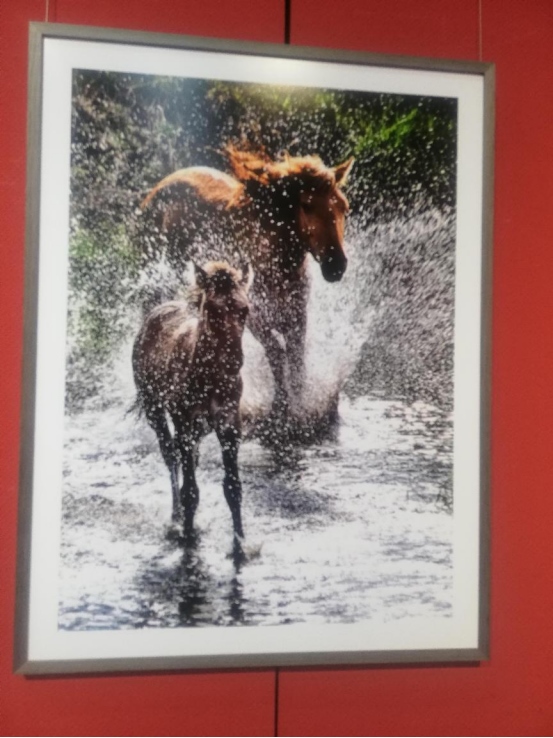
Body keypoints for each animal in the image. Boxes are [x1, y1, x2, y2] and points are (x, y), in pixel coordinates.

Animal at [132, 260, 253, 547]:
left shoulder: (229, 425)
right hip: (155, 410)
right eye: (213, 309)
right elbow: (190, 490)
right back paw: (176, 516)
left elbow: (233, 487)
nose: (234, 361)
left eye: (244, 309)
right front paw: (187, 534)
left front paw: (240, 542)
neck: (207, 374)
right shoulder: (184, 423)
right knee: (170, 456)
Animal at [140, 147, 354, 424]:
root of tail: (155, 191)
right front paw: (281, 406)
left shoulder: (296, 313)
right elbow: (277, 354)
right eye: (306, 205)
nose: (336, 265)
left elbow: (296, 358)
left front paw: (301, 404)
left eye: (344, 207)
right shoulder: (254, 318)